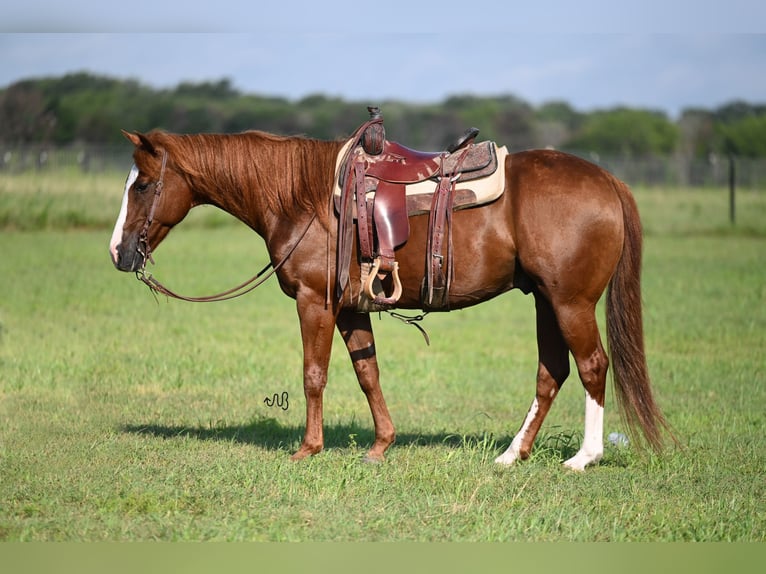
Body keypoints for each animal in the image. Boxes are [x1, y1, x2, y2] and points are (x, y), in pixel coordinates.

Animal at [108, 128, 672, 470]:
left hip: (570, 302)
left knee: (593, 365)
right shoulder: (351, 307)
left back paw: (584, 457)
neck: (304, 195)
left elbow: (314, 375)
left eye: (144, 185)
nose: (118, 252)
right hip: (545, 301)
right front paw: (381, 445)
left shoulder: (315, 303)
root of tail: (608, 180)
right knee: (551, 372)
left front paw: (308, 449)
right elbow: (367, 373)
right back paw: (512, 455)